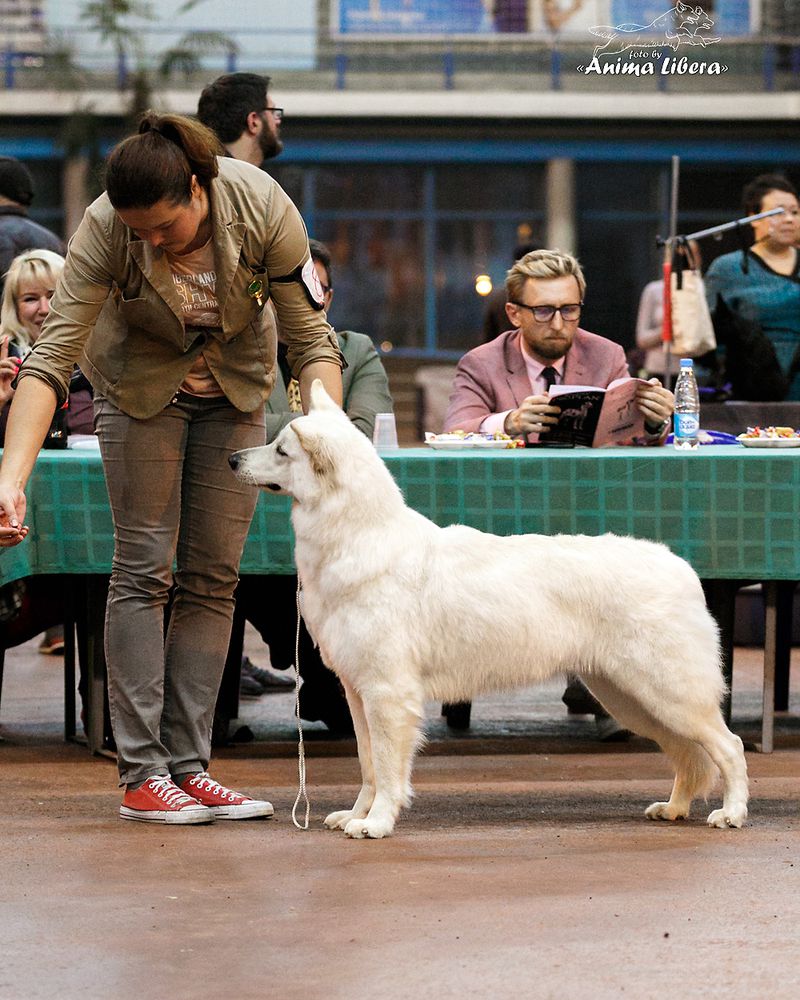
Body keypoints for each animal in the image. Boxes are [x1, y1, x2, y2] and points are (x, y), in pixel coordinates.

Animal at [230, 380, 752, 836]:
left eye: (281, 451)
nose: (233, 458)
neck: (358, 535)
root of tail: (680, 567)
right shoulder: (358, 694)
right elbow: (368, 764)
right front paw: (356, 815)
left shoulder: (388, 694)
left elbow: (387, 767)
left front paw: (376, 823)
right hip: (630, 697)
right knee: (687, 754)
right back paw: (675, 808)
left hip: (667, 693)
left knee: (728, 745)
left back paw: (732, 813)